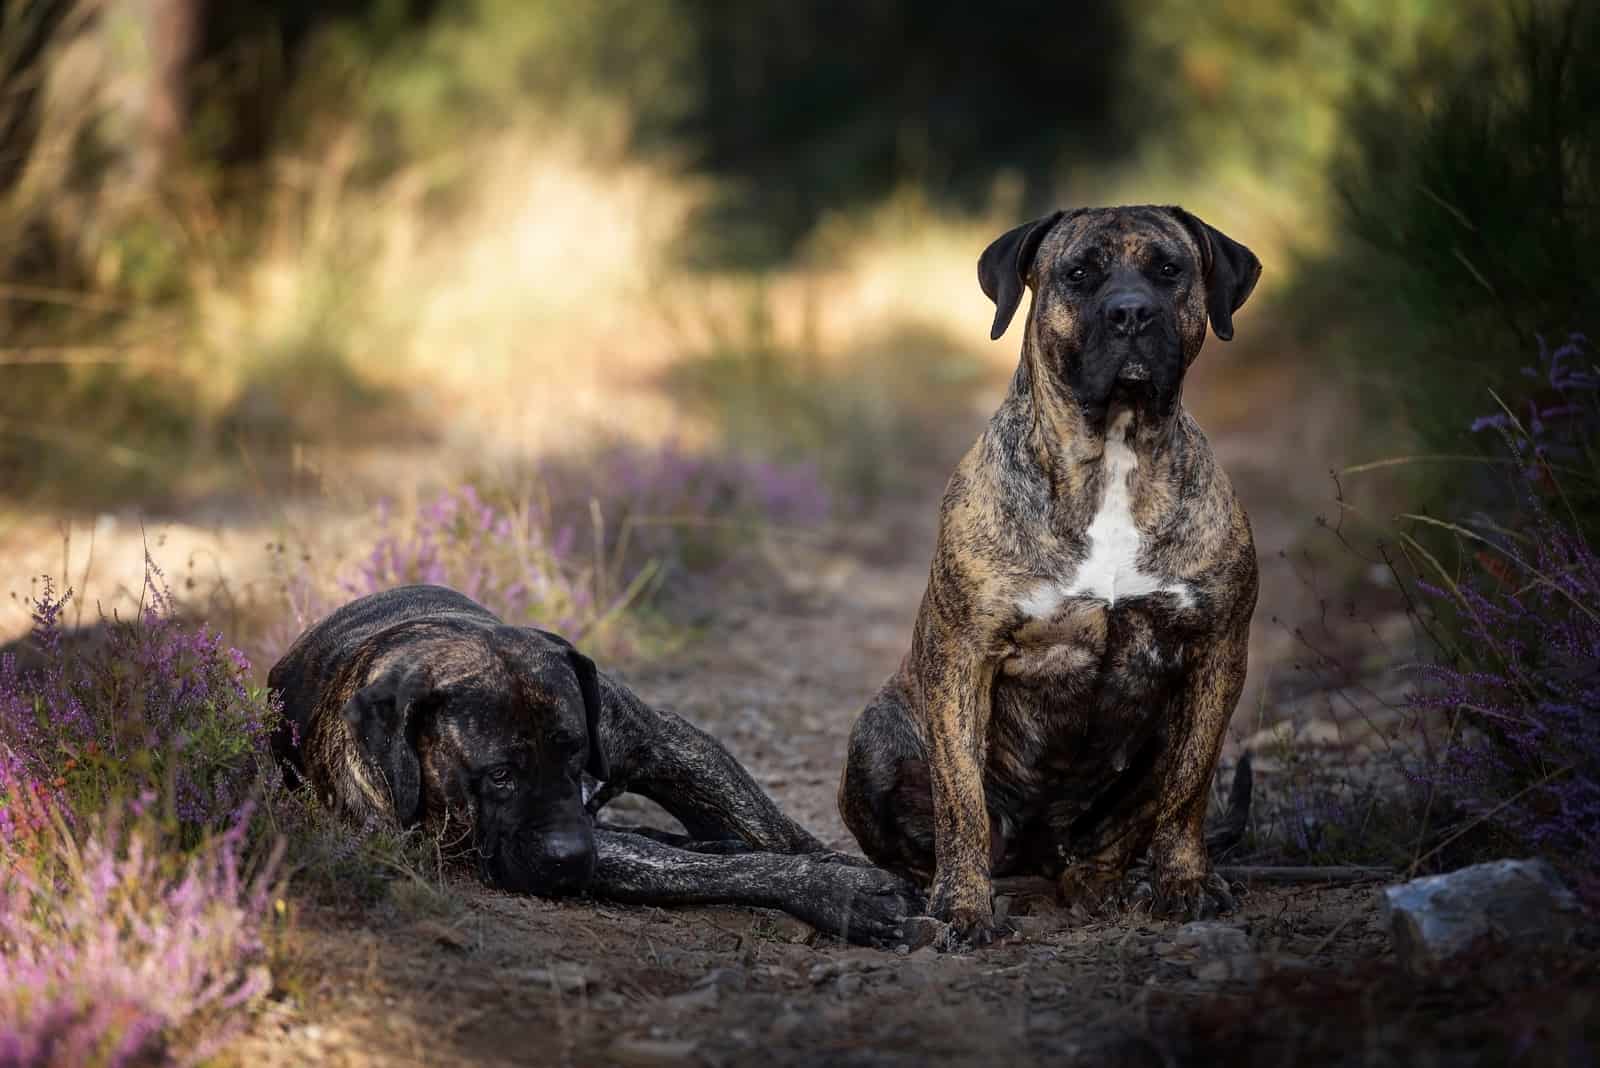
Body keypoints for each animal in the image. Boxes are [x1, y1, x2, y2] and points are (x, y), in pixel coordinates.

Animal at [268, 585, 921, 940]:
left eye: (575, 753)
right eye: (498, 776)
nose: (568, 855)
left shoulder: (665, 743)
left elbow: (773, 829)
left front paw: (846, 864)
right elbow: (719, 870)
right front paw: (840, 892)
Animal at [838, 206, 1260, 940]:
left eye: (1169, 270)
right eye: (1080, 273)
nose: (1130, 312)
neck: (1113, 456)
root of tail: (1038, 850)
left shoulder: (1217, 653)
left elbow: (1189, 787)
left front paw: (1185, 884)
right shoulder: (962, 655)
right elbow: (961, 802)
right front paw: (962, 906)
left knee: (1108, 844)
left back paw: (1103, 885)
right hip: (874, 742)